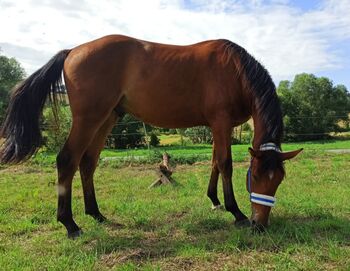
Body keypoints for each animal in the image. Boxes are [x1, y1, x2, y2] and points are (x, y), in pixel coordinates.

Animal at [0, 34, 300, 238]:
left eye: (279, 179)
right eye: (256, 176)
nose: (260, 224)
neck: (235, 71)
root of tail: (73, 50)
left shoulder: (217, 126)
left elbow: (215, 162)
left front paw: (214, 201)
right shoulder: (221, 122)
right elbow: (225, 164)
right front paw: (235, 212)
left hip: (107, 118)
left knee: (87, 163)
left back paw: (96, 214)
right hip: (89, 119)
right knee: (67, 160)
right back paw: (70, 224)